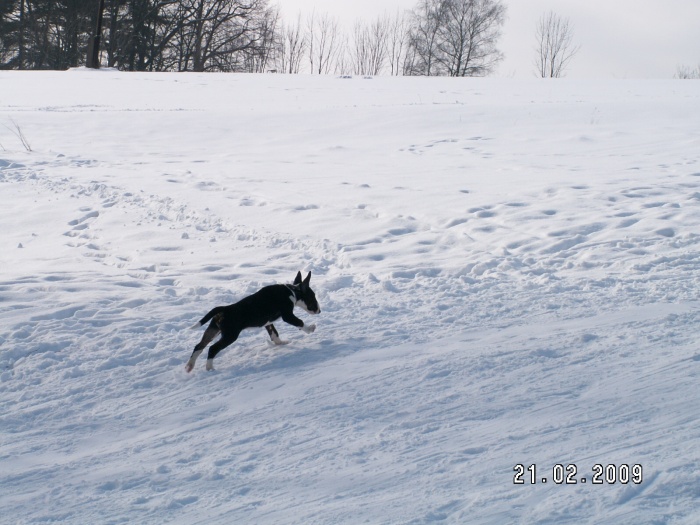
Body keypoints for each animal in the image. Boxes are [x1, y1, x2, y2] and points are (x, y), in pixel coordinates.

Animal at [183, 272, 320, 370]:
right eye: (313, 297)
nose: (319, 310)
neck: (293, 291)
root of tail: (223, 309)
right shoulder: (287, 316)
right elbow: (300, 322)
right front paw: (311, 329)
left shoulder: (268, 322)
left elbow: (274, 333)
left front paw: (281, 343)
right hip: (230, 335)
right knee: (212, 348)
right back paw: (210, 368)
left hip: (213, 330)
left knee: (199, 346)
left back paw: (189, 366)